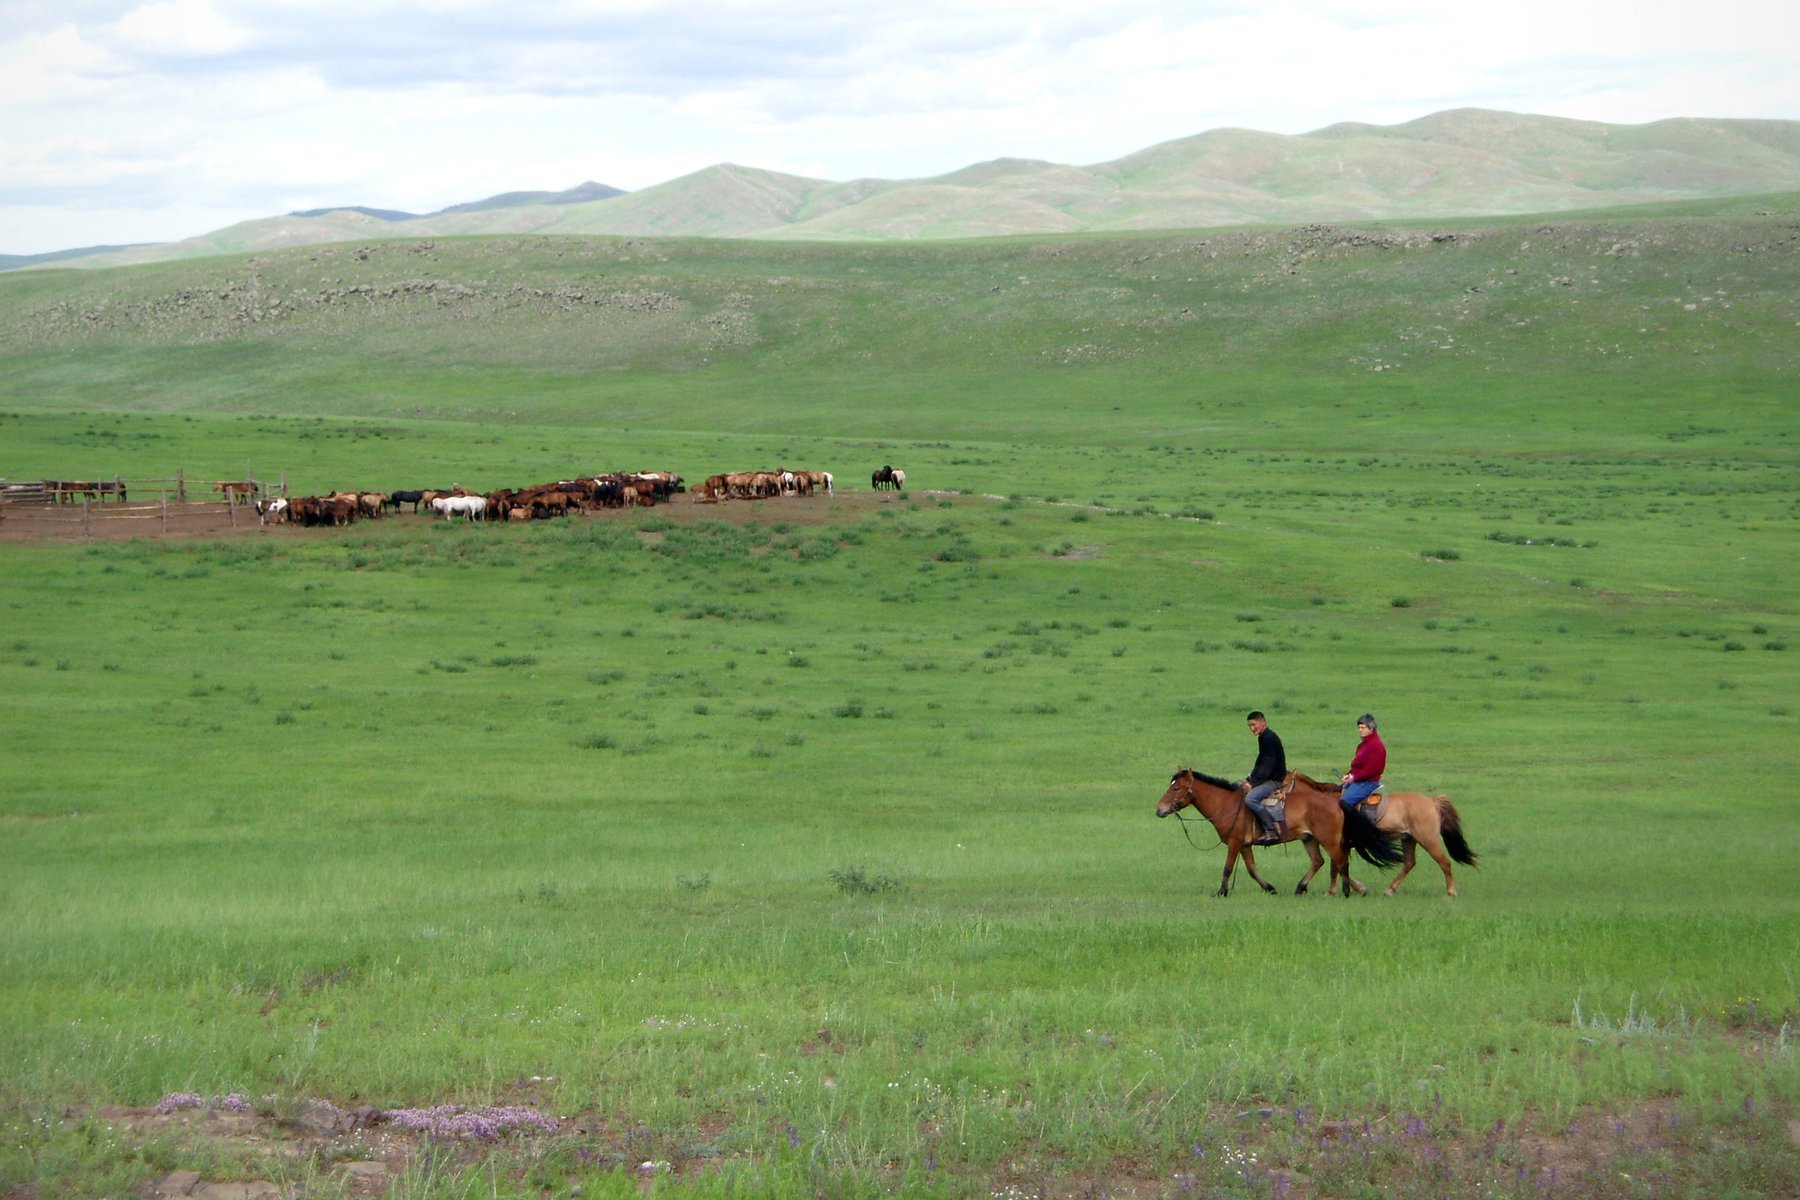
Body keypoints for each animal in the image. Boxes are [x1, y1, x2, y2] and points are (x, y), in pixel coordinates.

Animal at [1152, 773, 1404, 895]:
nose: (1159, 809)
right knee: (1320, 862)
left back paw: (1344, 892)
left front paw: (1222, 891)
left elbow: (1227, 867)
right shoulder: (1245, 845)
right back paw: (1301, 887)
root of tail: (1336, 803)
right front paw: (1269, 888)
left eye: (1176, 788)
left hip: (1329, 840)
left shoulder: (1234, 843)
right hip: (1309, 839)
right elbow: (1252, 870)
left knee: (1340, 862)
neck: (1226, 804)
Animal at [1281, 773, 1476, 895]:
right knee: (1409, 863)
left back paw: (1451, 891)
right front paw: (1358, 888)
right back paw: (1390, 889)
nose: (1276, 796)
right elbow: (1338, 866)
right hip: (1408, 839)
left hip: (1428, 840)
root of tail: (1432, 801)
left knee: (1444, 862)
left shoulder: (1336, 843)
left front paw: (1346, 890)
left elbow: (1336, 866)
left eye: (1283, 784)